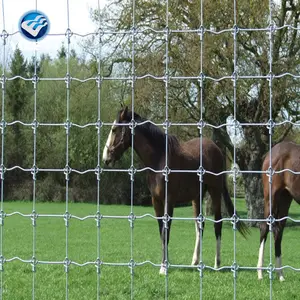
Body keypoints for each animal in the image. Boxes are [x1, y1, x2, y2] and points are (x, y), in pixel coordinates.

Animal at [102, 106, 248, 276]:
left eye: (114, 129)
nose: (106, 158)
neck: (159, 160)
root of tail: (216, 148)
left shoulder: (169, 200)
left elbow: (166, 231)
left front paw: (164, 267)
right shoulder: (156, 201)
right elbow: (161, 231)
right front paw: (164, 263)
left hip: (215, 191)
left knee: (217, 223)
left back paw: (217, 263)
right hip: (197, 197)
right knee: (200, 224)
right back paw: (195, 261)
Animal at [256, 141, 300, 282]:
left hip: (285, 199)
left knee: (278, 231)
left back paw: (280, 274)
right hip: (271, 197)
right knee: (264, 227)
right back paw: (260, 273)